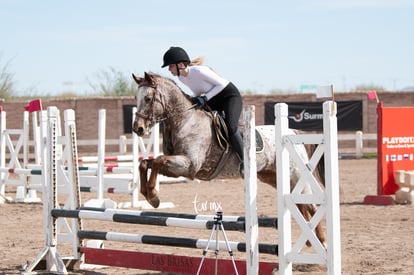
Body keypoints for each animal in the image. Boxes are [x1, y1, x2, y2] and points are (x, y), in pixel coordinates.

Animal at [133, 72, 326, 247]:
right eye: (136, 98)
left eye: (148, 99)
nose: (138, 129)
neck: (185, 121)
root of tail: (291, 132)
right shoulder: (178, 166)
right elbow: (145, 163)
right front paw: (148, 194)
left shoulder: (189, 166)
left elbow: (158, 161)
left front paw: (153, 196)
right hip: (273, 177)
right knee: (300, 205)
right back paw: (310, 240)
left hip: (296, 176)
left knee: (311, 206)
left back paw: (322, 241)